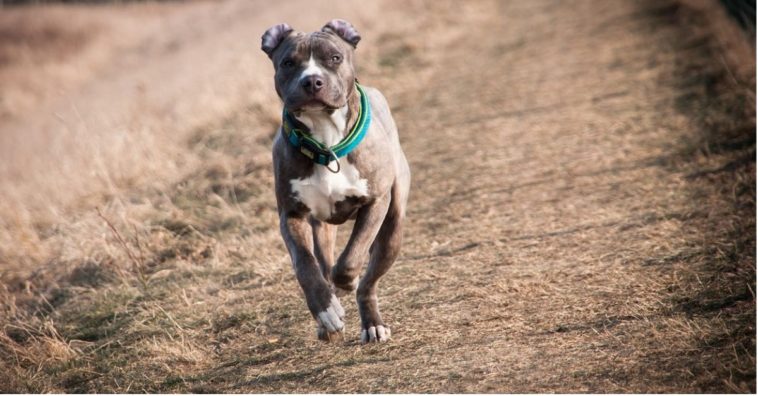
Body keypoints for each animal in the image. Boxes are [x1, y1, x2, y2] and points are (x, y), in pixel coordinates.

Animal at [262, 20, 416, 342]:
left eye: (334, 57)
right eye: (288, 63)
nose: (312, 81)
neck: (326, 140)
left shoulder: (376, 202)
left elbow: (351, 259)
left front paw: (346, 282)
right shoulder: (291, 215)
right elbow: (305, 265)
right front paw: (326, 311)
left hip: (393, 227)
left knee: (368, 282)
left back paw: (372, 323)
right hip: (322, 228)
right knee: (324, 261)